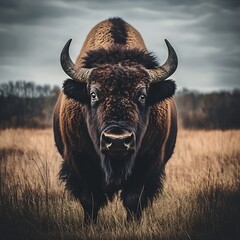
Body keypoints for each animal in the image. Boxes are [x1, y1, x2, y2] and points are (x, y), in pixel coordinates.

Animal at [53, 17, 177, 223]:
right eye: (93, 94)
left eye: (142, 95)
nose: (117, 140)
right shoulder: (78, 160)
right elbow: (89, 200)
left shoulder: (149, 162)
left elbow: (133, 199)